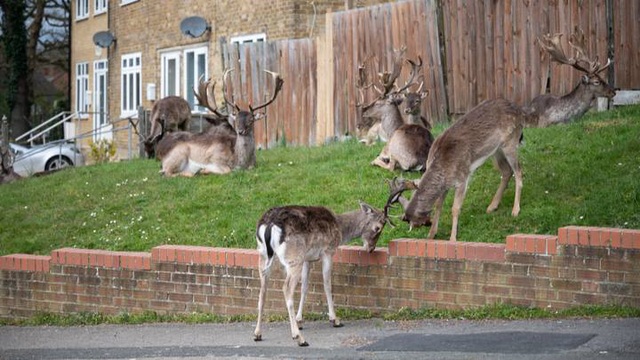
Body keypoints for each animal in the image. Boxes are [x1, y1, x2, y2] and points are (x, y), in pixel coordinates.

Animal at [251, 191, 398, 346]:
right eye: (378, 228)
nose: (371, 248)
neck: (340, 229)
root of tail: (269, 224)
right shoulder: (328, 251)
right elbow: (327, 284)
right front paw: (335, 319)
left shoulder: (307, 258)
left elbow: (305, 287)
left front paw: (300, 320)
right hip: (293, 257)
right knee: (286, 288)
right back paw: (299, 337)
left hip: (263, 254)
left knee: (262, 290)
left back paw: (257, 334)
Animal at [388, 97, 528, 242]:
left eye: (412, 221)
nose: (428, 223)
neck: (444, 168)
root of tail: (520, 111)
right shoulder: (445, 185)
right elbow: (438, 205)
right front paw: (431, 235)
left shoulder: (462, 178)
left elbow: (455, 208)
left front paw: (453, 238)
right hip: (496, 150)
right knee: (507, 171)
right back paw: (492, 206)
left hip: (511, 142)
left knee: (518, 171)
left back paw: (515, 210)